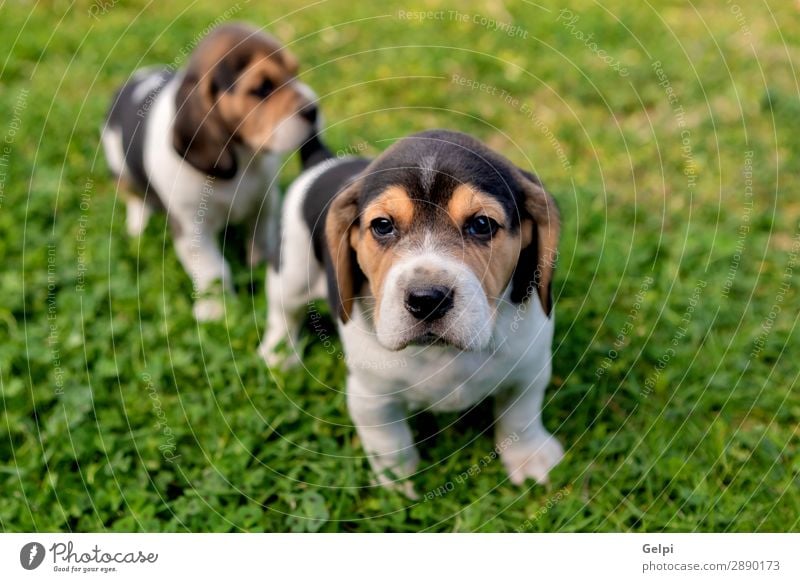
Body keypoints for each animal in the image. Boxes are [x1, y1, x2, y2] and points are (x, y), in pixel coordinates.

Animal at [101, 22, 320, 322]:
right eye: (262, 88)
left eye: (295, 72)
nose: (314, 109)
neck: (242, 157)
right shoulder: (192, 229)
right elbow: (214, 270)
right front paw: (215, 310)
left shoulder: (265, 202)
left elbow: (261, 238)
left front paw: (258, 265)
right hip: (119, 169)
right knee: (135, 199)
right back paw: (137, 226)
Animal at [262, 130, 564, 496]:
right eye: (382, 226)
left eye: (481, 224)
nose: (426, 299)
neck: (441, 354)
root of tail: (323, 162)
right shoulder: (371, 397)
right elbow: (390, 442)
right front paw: (397, 485)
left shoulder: (529, 370)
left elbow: (521, 416)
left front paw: (529, 457)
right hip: (291, 272)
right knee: (283, 314)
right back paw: (279, 354)